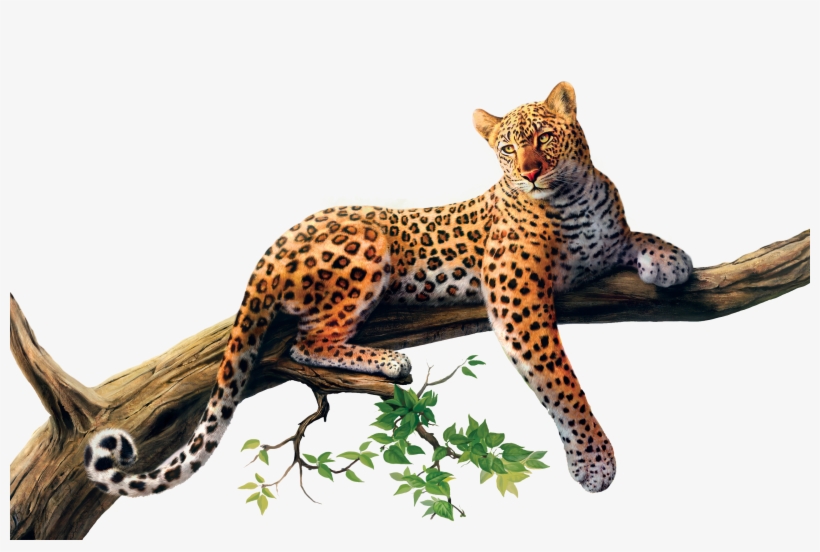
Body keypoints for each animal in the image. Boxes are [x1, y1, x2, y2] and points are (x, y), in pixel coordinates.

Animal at [85, 82, 692, 497]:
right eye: (505, 148)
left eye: (543, 136)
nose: (530, 172)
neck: (573, 197)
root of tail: (273, 247)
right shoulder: (517, 296)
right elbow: (561, 381)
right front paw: (593, 460)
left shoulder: (602, 245)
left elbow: (635, 235)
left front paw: (671, 259)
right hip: (367, 247)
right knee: (307, 341)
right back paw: (389, 362)